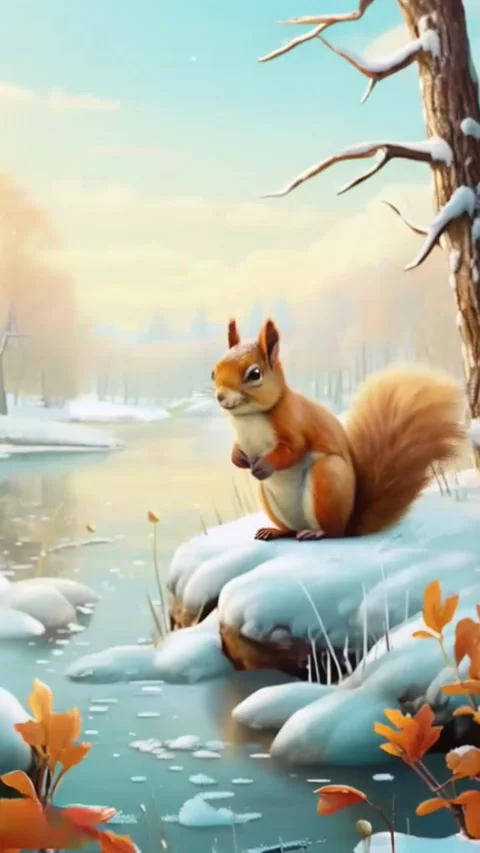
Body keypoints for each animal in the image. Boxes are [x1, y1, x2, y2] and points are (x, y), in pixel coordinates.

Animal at [211, 317, 466, 542]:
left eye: (254, 374)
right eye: (214, 372)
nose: (220, 397)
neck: (249, 418)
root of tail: (349, 527)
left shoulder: (295, 425)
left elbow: (292, 450)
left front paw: (263, 465)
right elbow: (237, 449)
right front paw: (239, 459)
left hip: (327, 477)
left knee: (332, 531)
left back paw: (317, 533)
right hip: (270, 500)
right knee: (291, 530)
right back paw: (276, 531)